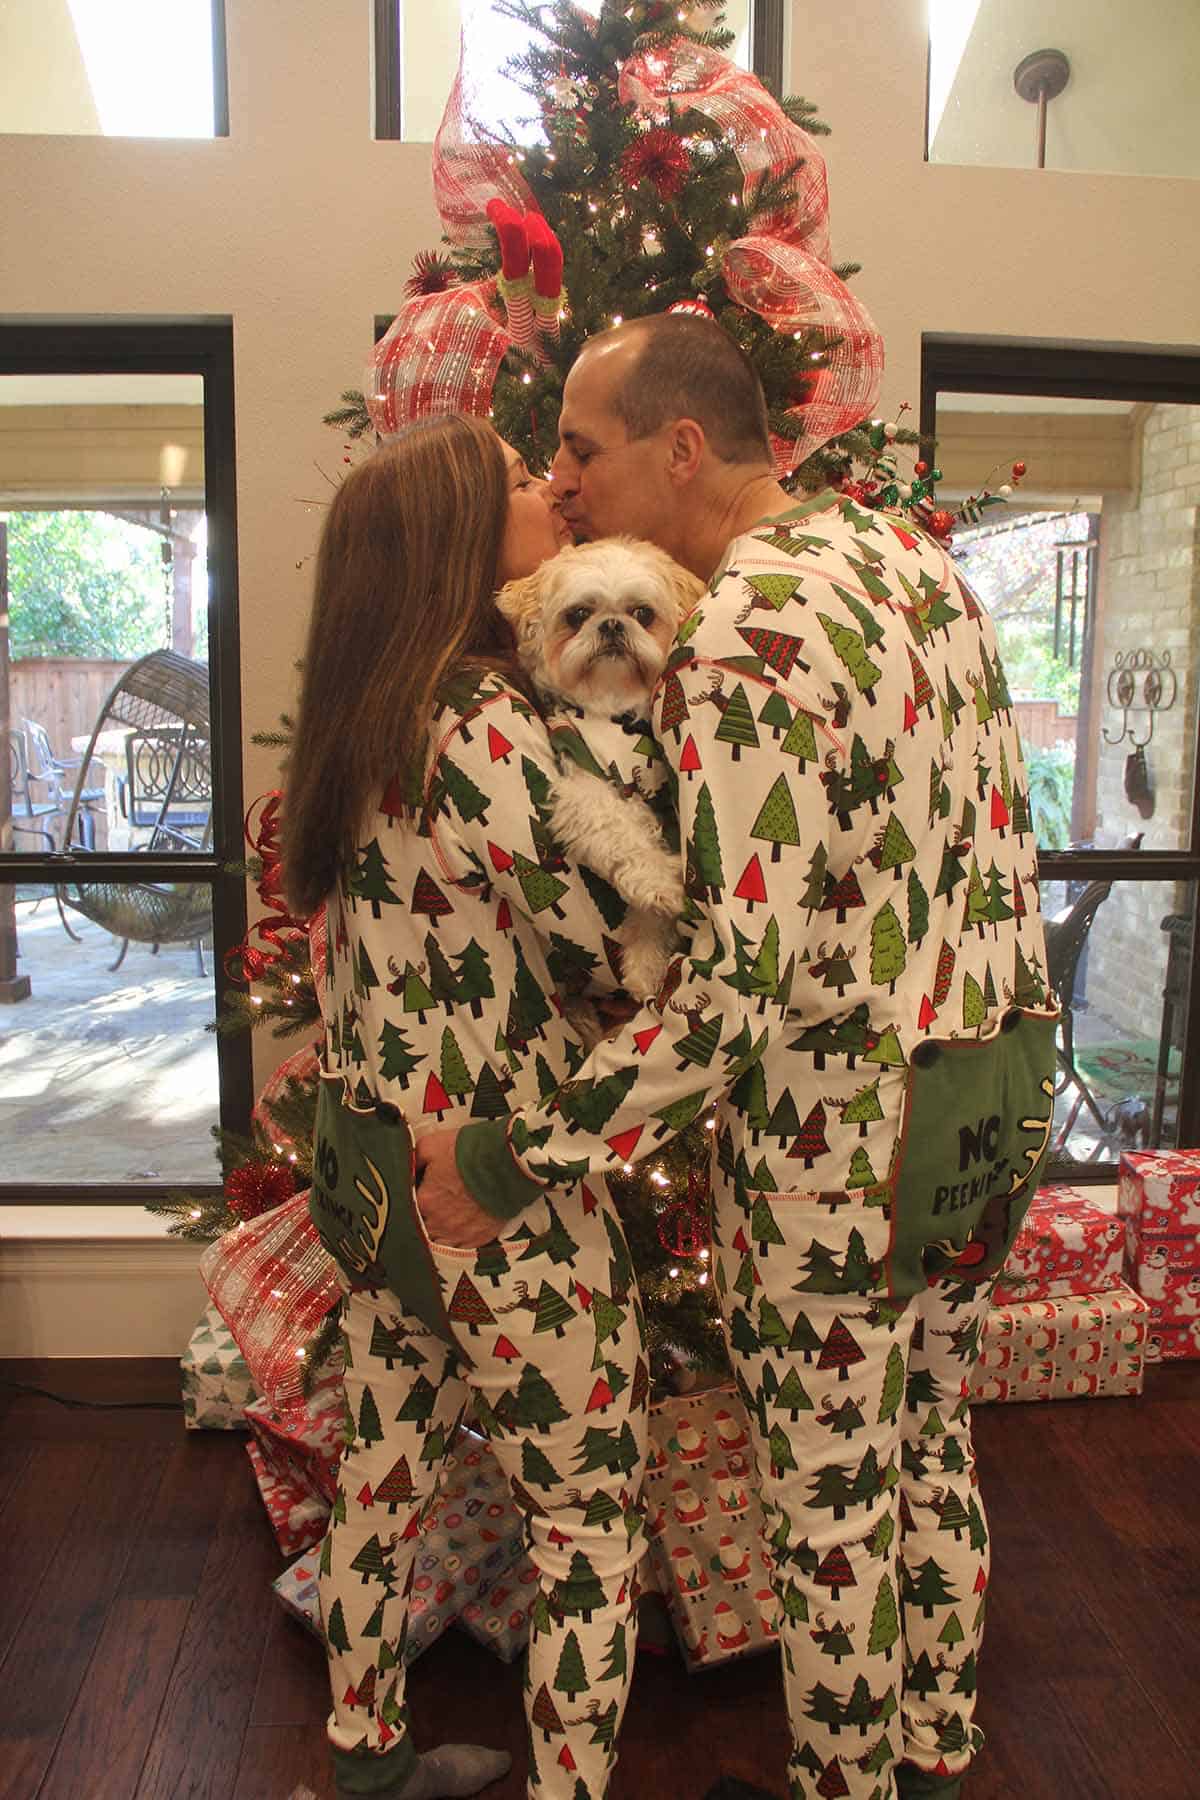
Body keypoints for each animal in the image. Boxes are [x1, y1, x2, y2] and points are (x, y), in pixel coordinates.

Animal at [496, 532, 705, 1015]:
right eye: (578, 615)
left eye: (642, 613)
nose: (611, 626)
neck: (613, 709)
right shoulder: (582, 787)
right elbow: (619, 832)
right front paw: (660, 885)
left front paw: (647, 956)